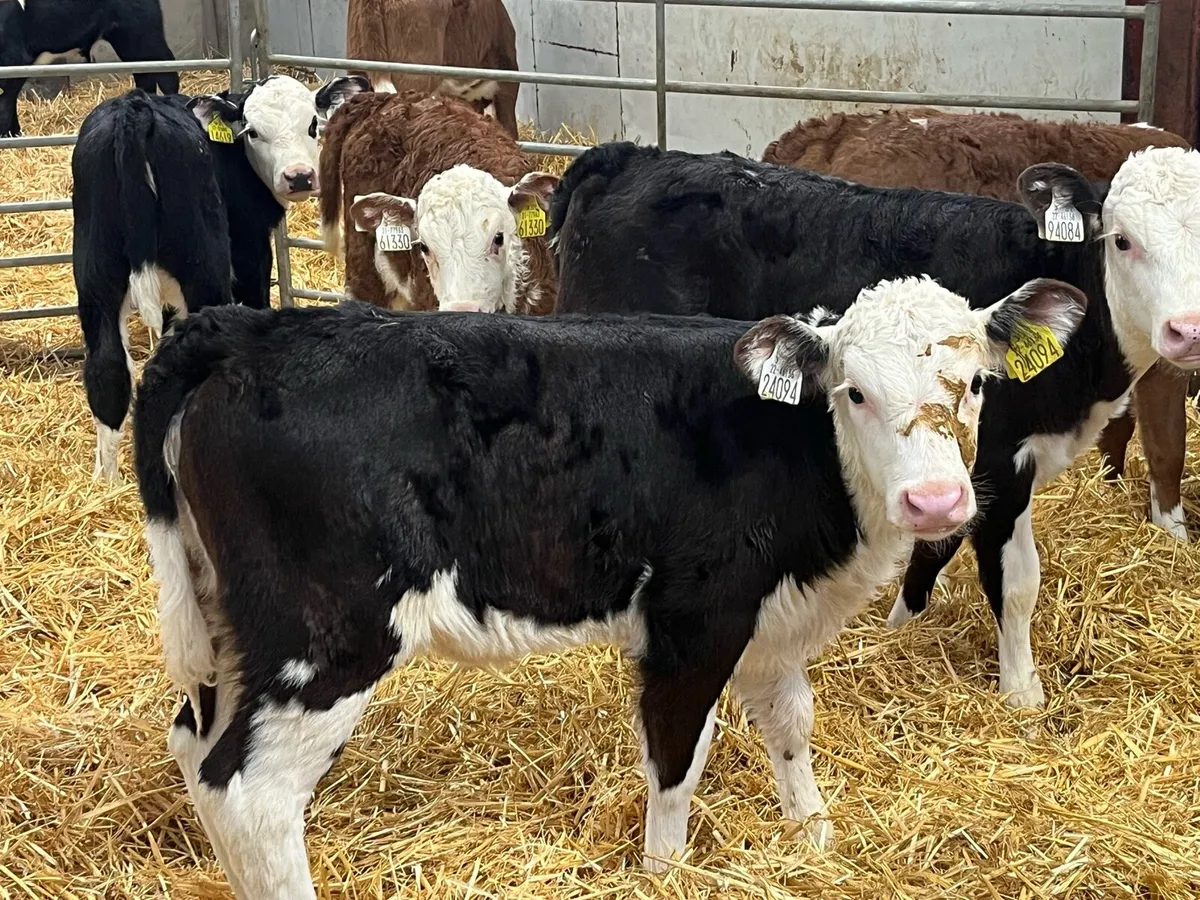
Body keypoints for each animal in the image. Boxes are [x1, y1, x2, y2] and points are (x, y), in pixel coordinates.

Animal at [0, 0, 179, 137]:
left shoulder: (17, 59)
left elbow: (5, 105)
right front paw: (13, 135)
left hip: (143, 31)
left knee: (167, 73)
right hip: (127, 41)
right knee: (145, 76)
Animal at [73, 74, 364, 481]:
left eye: (312, 124)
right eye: (253, 132)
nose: (299, 177)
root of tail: (135, 107)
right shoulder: (249, 250)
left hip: (96, 274)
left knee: (108, 368)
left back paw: (108, 482)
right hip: (204, 265)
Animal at [135, 277, 1087, 895]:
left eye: (974, 384)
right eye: (852, 391)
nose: (938, 501)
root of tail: (245, 329)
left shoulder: (770, 620)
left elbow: (790, 725)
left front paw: (812, 835)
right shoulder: (692, 621)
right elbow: (677, 757)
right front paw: (666, 872)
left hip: (233, 624)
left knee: (192, 743)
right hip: (327, 635)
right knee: (250, 791)